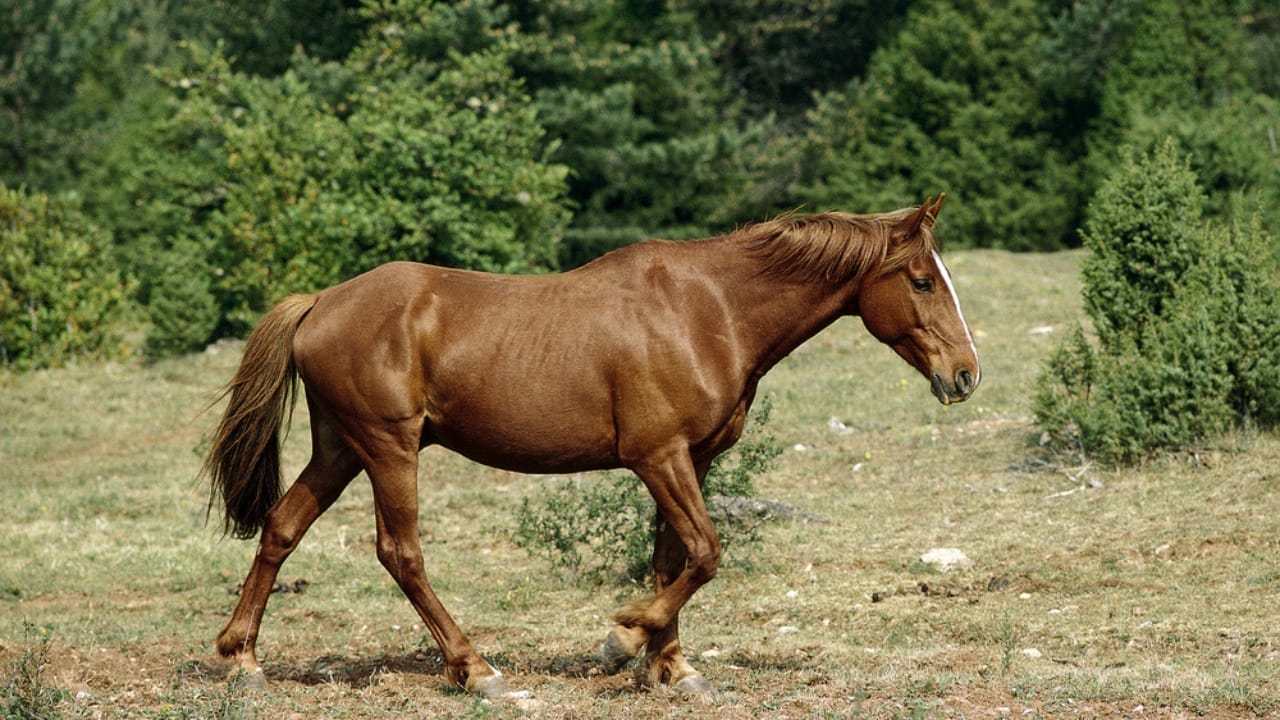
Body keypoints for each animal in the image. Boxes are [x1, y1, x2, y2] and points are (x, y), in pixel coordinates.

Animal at [204, 195, 979, 699]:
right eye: (920, 279)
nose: (966, 374)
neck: (710, 311)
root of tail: (320, 302)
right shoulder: (657, 457)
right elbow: (704, 553)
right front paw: (626, 638)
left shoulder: (691, 459)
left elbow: (672, 558)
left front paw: (673, 670)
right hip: (388, 449)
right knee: (401, 554)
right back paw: (478, 671)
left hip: (340, 449)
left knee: (281, 529)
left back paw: (243, 660)